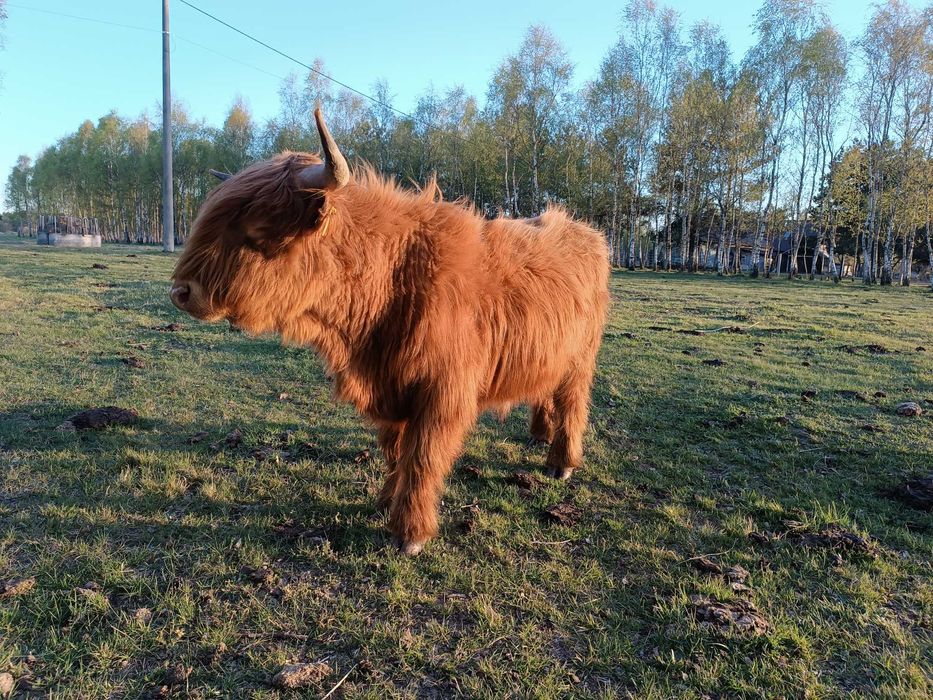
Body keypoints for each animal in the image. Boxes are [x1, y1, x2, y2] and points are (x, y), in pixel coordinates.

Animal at [171, 108, 610, 555]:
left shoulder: (442, 392)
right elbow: (395, 451)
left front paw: (410, 533)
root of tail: (583, 230)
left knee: (572, 401)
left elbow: (422, 459)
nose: (182, 292)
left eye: (258, 232)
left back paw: (560, 462)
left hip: (581, 357)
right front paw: (385, 501)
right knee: (545, 389)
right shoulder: (389, 383)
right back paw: (538, 434)